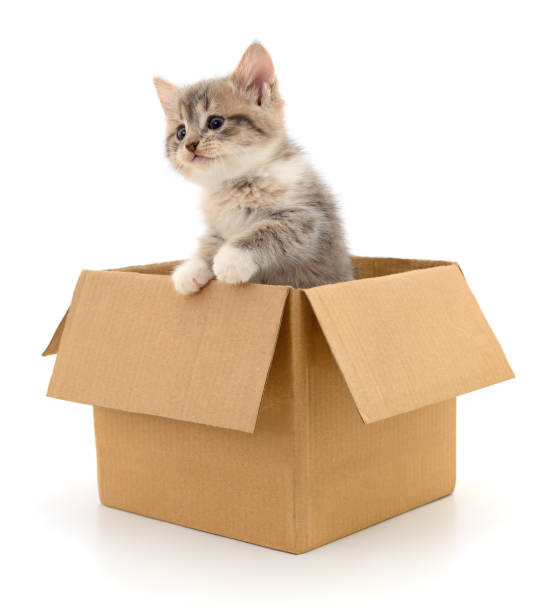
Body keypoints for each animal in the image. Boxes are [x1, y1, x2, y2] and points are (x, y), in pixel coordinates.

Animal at [153, 40, 356, 294]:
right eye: (181, 132)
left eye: (215, 122)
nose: (190, 145)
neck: (235, 183)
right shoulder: (217, 227)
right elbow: (209, 242)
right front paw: (190, 269)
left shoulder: (311, 218)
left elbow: (269, 229)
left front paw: (230, 259)